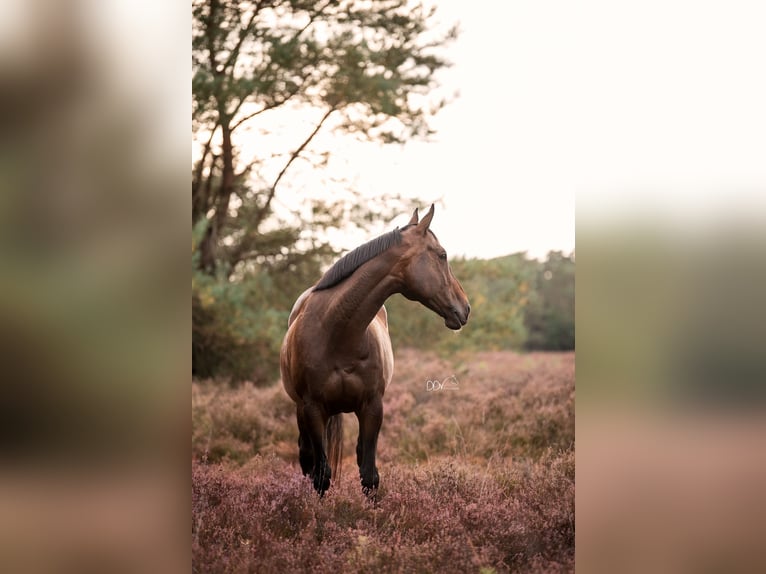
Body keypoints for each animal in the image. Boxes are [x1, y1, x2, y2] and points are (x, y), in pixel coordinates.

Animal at [280, 204, 470, 496]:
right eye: (442, 255)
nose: (466, 307)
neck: (336, 333)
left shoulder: (372, 407)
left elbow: (369, 475)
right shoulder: (312, 409)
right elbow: (321, 475)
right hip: (302, 413)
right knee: (308, 458)